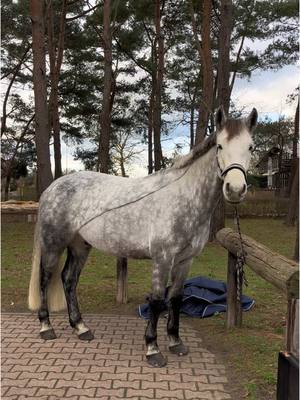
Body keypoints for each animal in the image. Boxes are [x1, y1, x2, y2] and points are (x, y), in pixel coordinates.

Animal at [28, 106, 258, 366]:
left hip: (80, 246)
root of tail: (52, 188)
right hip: (53, 245)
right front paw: (152, 349)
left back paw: (80, 327)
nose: (235, 190)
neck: (184, 197)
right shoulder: (162, 259)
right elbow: (157, 301)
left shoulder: (185, 261)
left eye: (251, 147)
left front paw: (175, 342)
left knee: (68, 280)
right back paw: (46, 327)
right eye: (220, 146)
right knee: (45, 279)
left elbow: (175, 298)